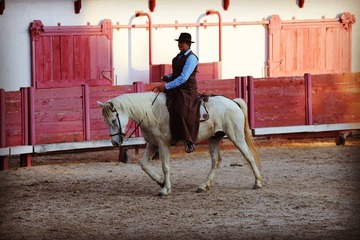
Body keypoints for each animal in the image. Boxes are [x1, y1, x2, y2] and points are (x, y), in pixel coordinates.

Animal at [97, 93, 262, 196]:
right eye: (105, 121)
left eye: (114, 120)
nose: (115, 142)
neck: (151, 112)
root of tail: (233, 102)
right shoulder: (152, 144)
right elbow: (143, 165)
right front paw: (161, 182)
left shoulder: (163, 144)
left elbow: (165, 166)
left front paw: (165, 189)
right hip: (214, 138)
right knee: (216, 161)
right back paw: (203, 186)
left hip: (236, 136)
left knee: (249, 156)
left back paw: (258, 183)